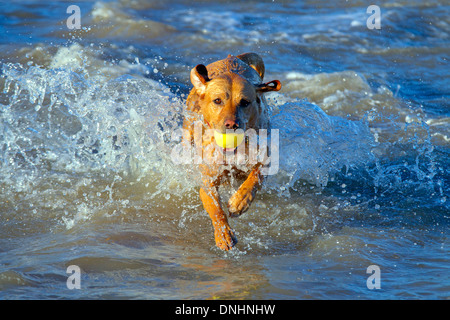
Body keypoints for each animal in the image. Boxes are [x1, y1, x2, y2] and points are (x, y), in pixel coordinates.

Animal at [181, 52, 280, 250]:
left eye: (245, 102)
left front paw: (240, 201)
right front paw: (223, 234)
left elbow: (255, 177)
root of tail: (232, 57)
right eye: (217, 101)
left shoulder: (265, 160)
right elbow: (215, 209)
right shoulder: (208, 180)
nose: (231, 124)